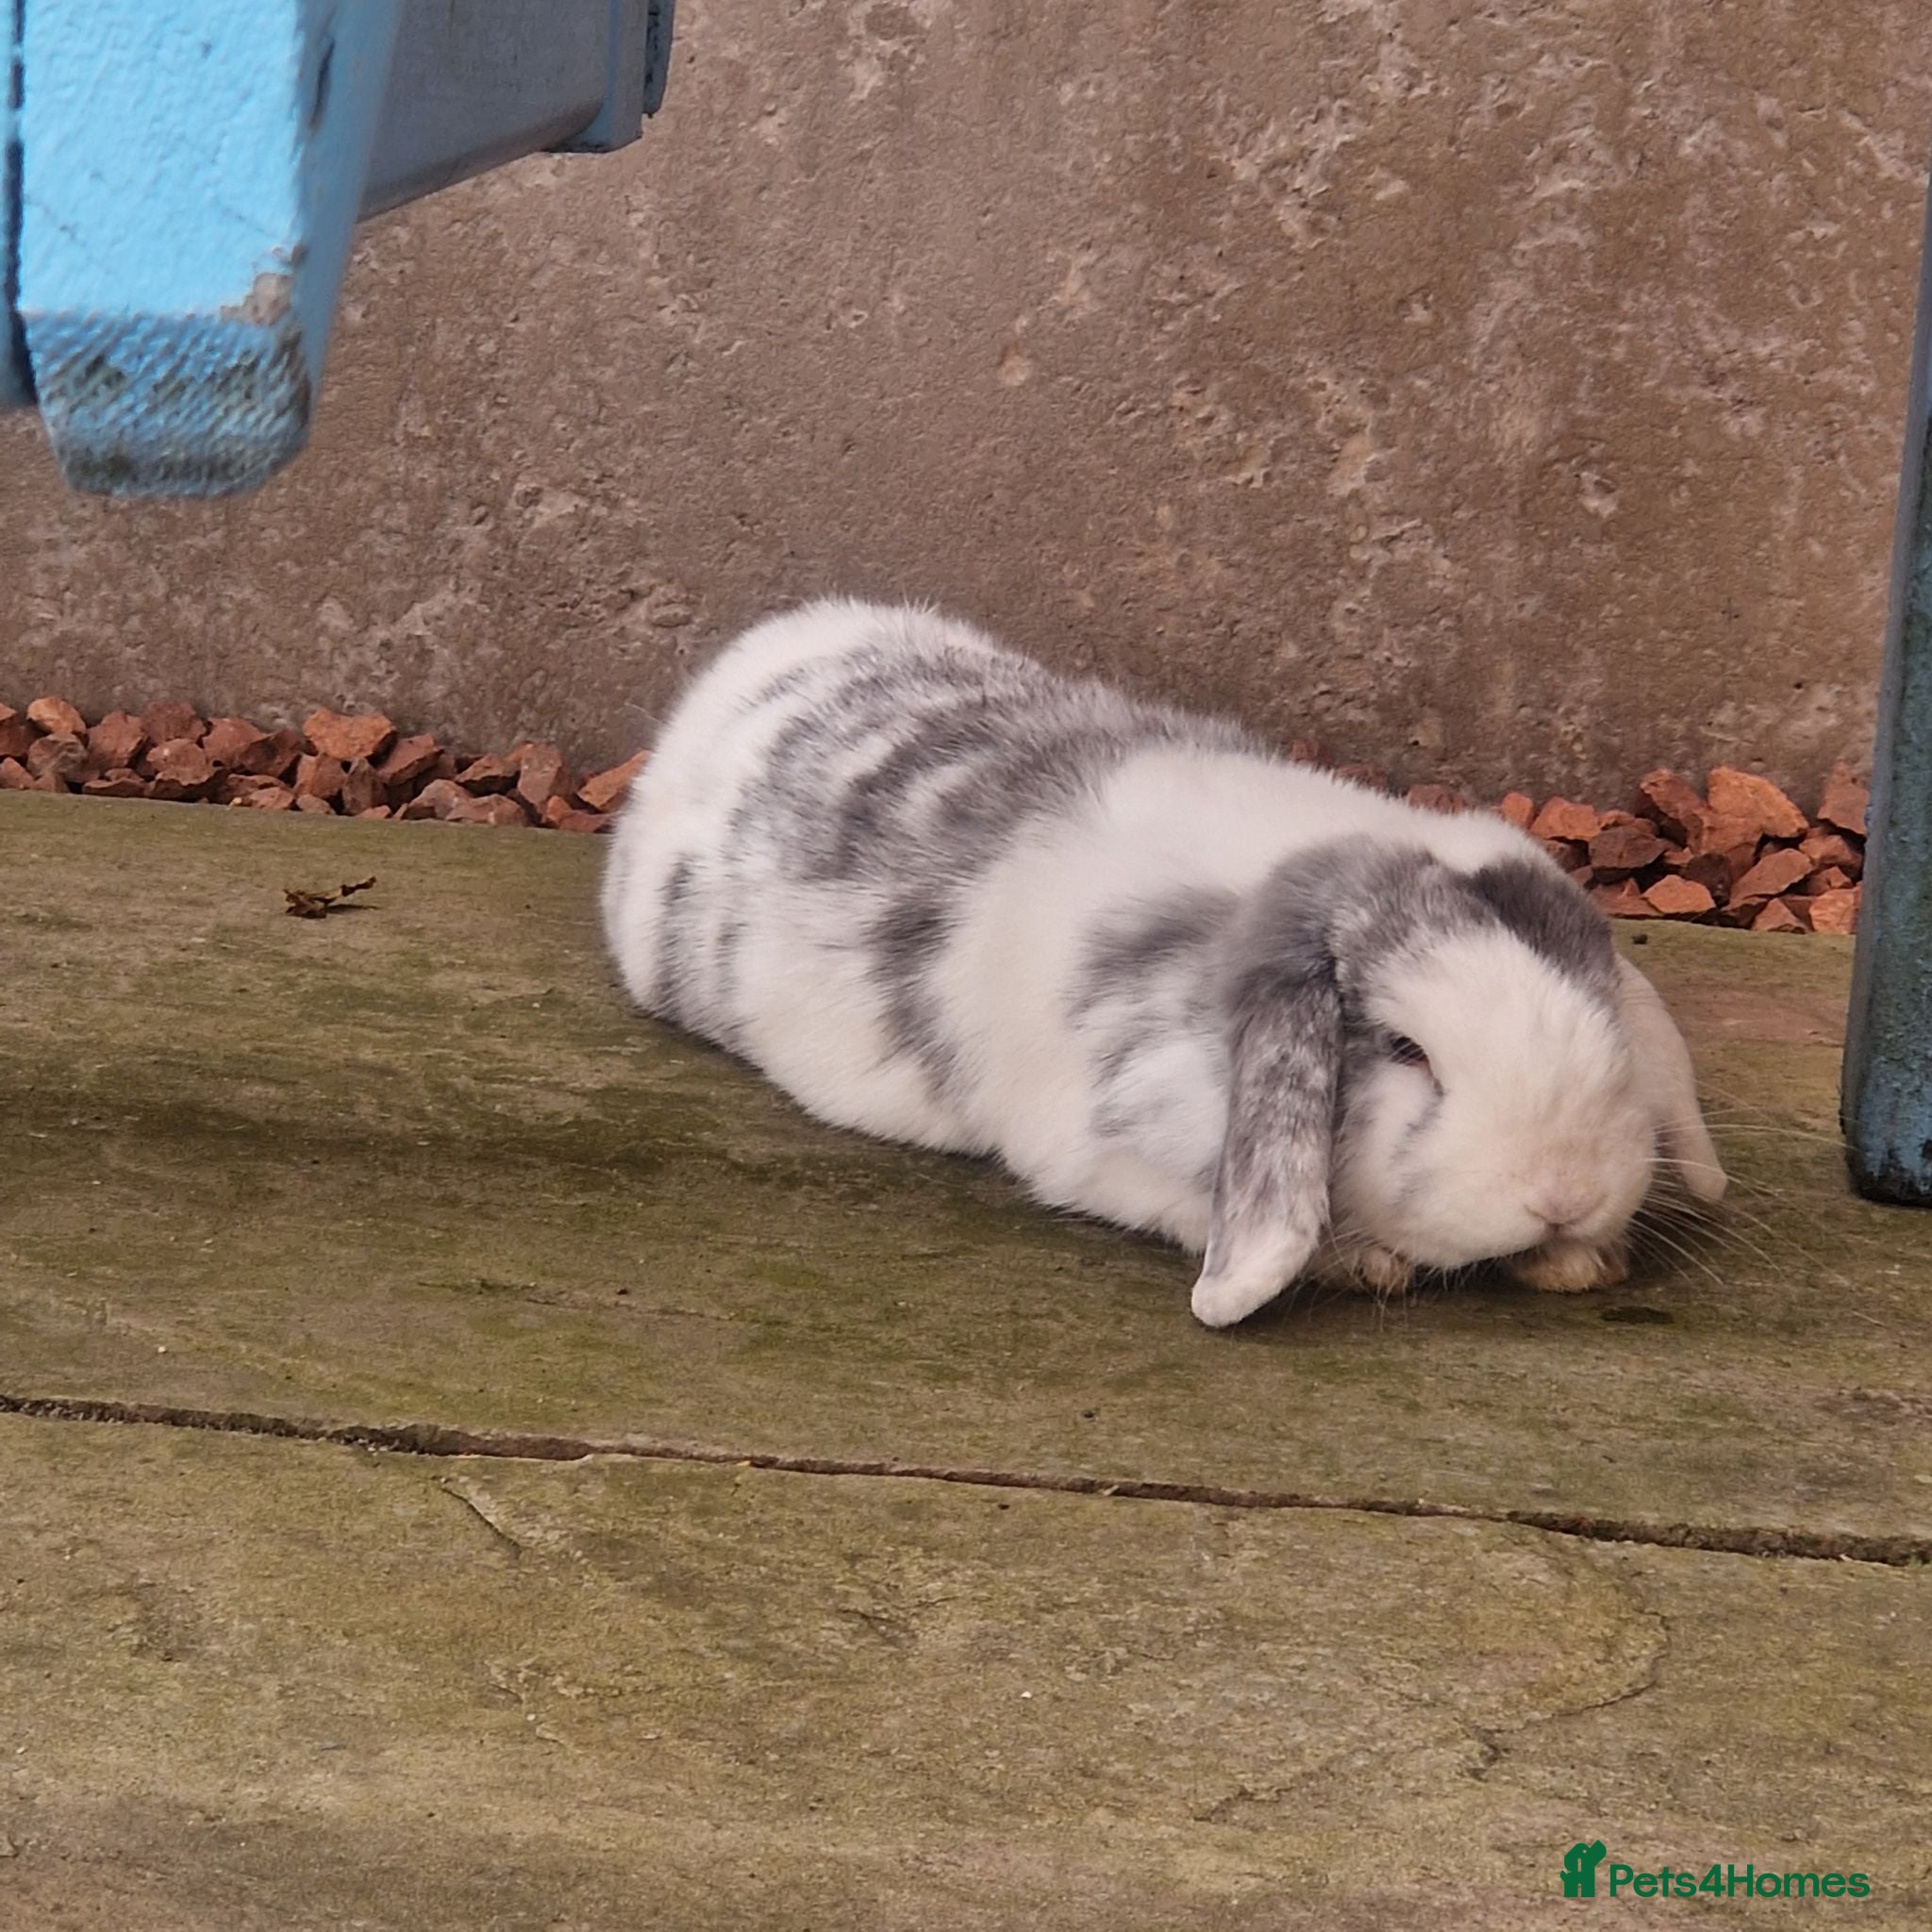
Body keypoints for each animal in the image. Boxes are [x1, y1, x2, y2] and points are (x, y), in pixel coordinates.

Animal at [601, 598, 1726, 1327]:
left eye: (1605, 1017)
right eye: (1408, 1050)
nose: (1562, 1193)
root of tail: (740, 668)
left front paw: (1582, 1264)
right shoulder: (1106, 1152)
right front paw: (1370, 1263)